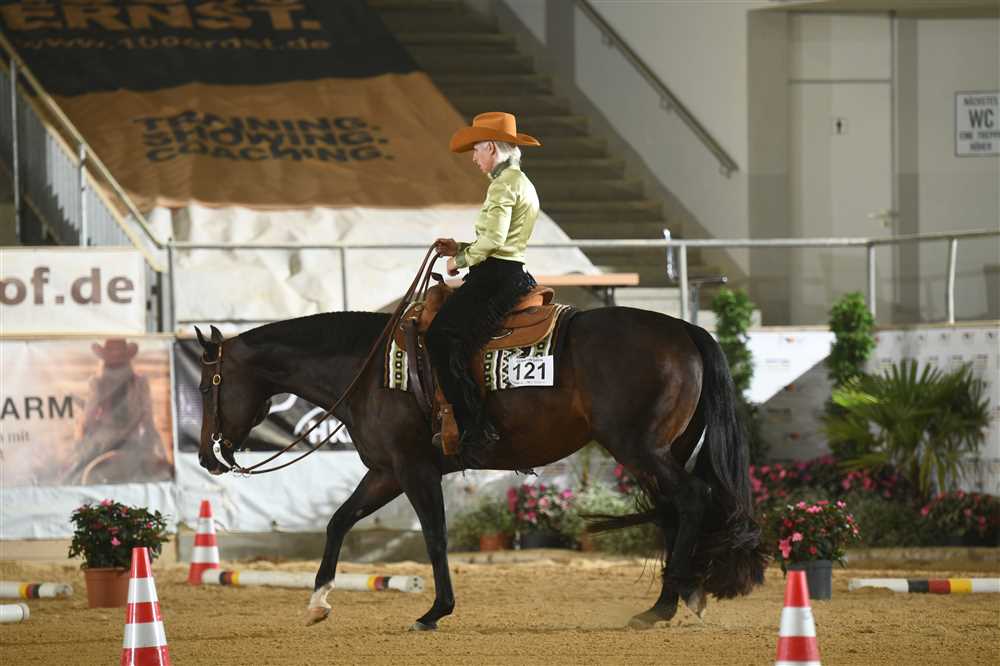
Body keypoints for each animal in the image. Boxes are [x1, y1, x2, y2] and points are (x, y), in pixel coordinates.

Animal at [194, 306, 767, 631]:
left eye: (206, 386)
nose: (204, 456)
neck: (369, 368)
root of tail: (686, 329)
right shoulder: (384, 472)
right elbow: (338, 522)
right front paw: (316, 603)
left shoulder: (414, 470)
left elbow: (435, 537)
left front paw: (434, 612)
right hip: (661, 450)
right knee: (675, 511)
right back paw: (678, 597)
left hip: (638, 447)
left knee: (691, 500)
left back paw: (667, 605)